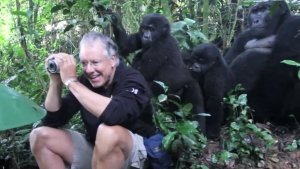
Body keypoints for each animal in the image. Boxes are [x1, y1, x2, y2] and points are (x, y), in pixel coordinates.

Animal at [225, 0, 300, 131]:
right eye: (254, 12)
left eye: (264, 9)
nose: (255, 20)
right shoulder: (243, 35)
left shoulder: (294, 24)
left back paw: (287, 123)